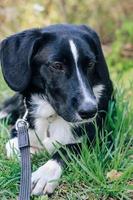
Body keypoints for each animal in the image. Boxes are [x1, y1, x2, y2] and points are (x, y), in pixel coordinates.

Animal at [0, 24, 113, 196]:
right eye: (57, 66)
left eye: (90, 64)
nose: (90, 111)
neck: (51, 117)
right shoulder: (20, 128)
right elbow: (12, 146)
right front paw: (34, 152)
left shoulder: (103, 139)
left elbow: (67, 148)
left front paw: (45, 174)